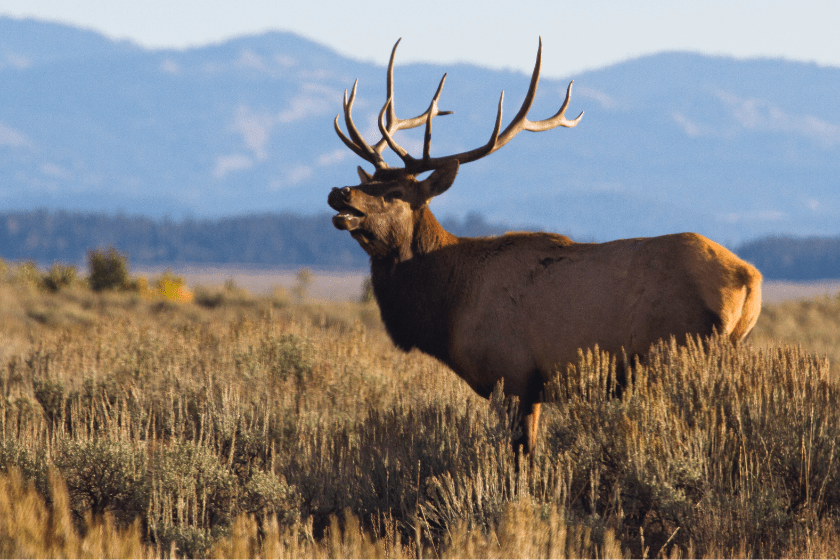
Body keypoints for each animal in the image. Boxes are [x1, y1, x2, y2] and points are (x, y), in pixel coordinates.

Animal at [327, 39, 762, 454]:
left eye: (396, 192)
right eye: (370, 181)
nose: (340, 192)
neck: (447, 302)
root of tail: (750, 280)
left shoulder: (512, 374)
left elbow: (522, 455)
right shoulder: (532, 387)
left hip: (680, 352)